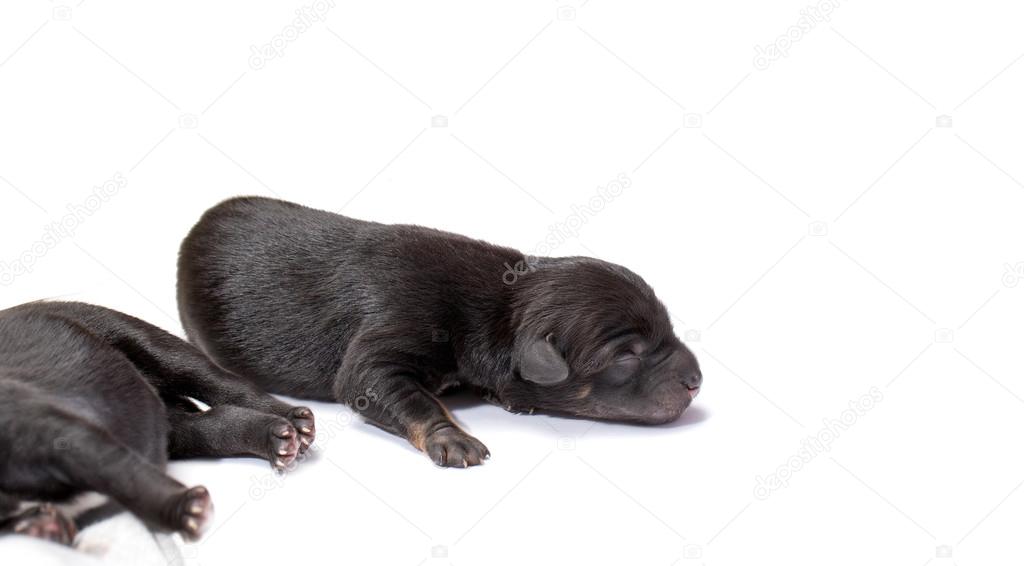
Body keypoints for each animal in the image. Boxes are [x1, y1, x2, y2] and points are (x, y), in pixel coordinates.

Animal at [0, 300, 315, 544]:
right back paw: (273, 439)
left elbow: (131, 480)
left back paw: (292, 420)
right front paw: (41, 525)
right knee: (214, 425)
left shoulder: (71, 437)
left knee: (226, 385)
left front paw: (182, 511)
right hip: (179, 430)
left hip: (151, 345)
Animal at [178, 197, 704, 468]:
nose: (697, 381)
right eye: (627, 355)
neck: (500, 307)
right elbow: (378, 383)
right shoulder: (393, 329)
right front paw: (452, 438)